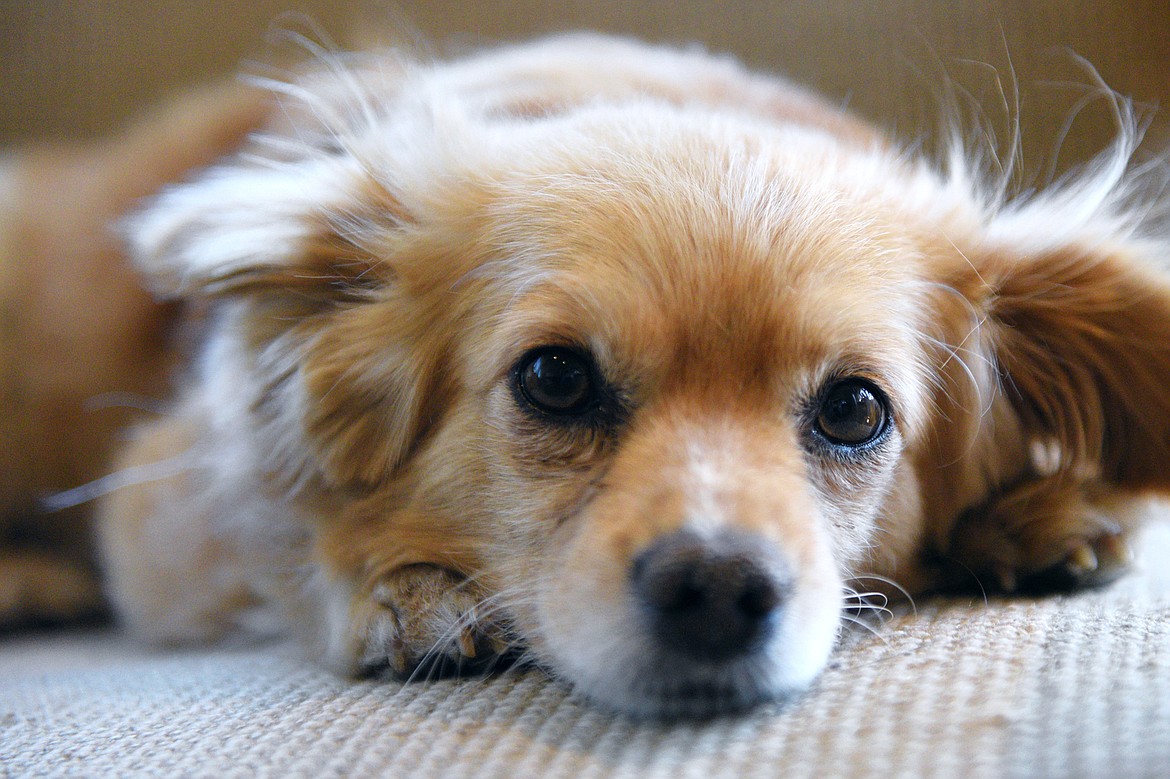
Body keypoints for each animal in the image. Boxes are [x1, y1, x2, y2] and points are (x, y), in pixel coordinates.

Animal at [11, 33, 1170, 715]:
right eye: (556, 379)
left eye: (854, 408)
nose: (718, 587)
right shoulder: (165, 501)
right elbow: (285, 523)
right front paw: (404, 588)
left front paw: (1034, 514)